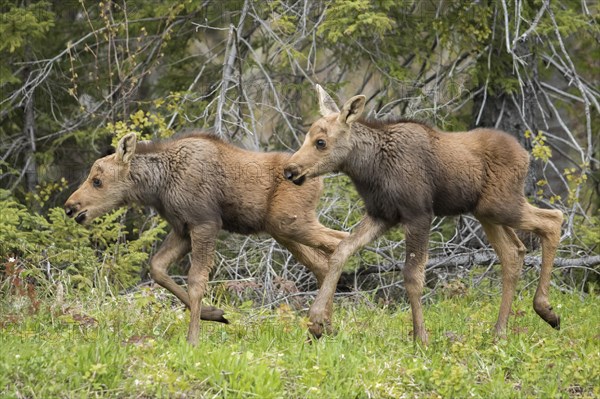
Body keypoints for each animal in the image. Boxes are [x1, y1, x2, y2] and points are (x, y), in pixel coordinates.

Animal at [64, 133, 346, 346]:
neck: (157, 186)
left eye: (97, 181)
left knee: (341, 243)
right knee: (321, 262)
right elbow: (157, 267)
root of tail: (319, 180)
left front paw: (193, 339)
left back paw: (321, 325)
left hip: (292, 223)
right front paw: (215, 314)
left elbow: (196, 282)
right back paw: (325, 328)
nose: (70, 207)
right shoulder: (182, 229)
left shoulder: (205, 224)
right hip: (283, 231)